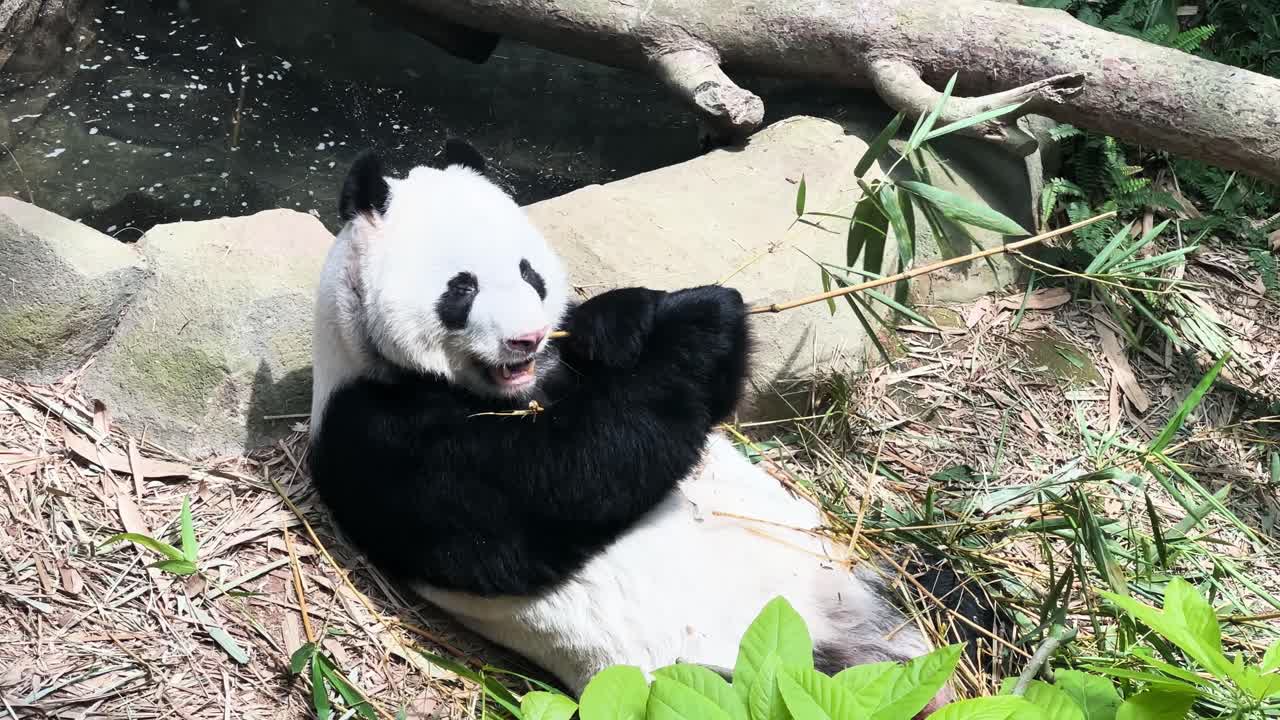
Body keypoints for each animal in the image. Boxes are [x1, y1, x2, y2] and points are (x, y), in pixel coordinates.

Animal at [308, 139, 965, 715]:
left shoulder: (563, 364)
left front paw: (634, 316)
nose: (527, 338)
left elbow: (613, 346)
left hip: (850, 566)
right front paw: (703, 320)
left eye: (529, 274)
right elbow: (559, 484)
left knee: (938, 583)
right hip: (728, 673)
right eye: (461, 287)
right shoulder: (377, 434)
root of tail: (864, 644)